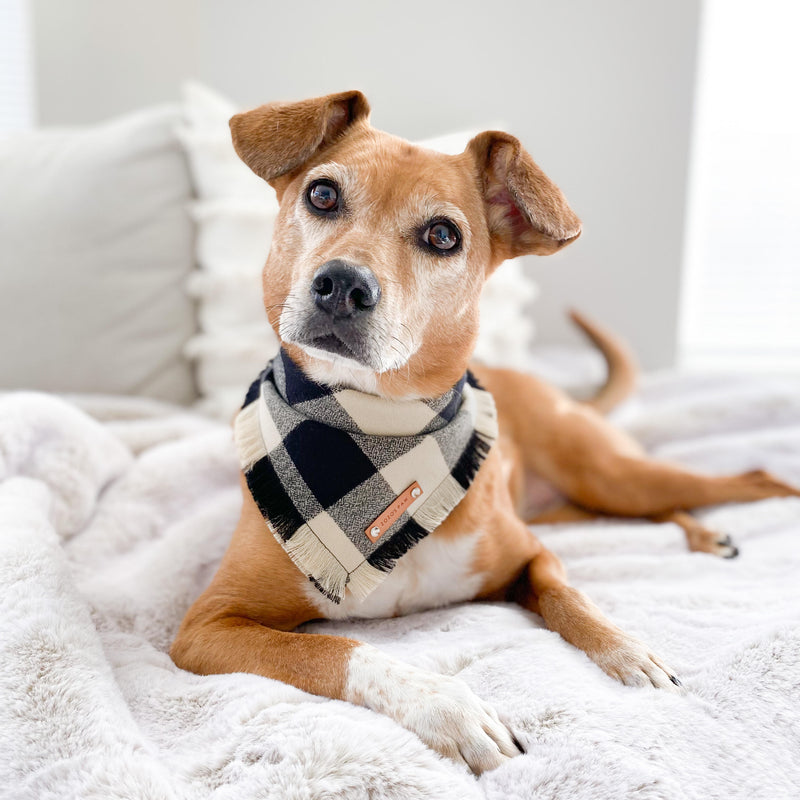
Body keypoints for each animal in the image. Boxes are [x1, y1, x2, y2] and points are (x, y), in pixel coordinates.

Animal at [170, 89, 800, 776]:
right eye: (323, 195)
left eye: (443, 235)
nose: (344, 285)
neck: (378, 434)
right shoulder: (207, 628)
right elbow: (337, 649)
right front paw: (449, 707)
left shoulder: (531, 555)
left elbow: (570, 598)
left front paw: (627, 648)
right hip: (590, 501)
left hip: (610, 476)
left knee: (744, 478)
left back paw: (716, 526)